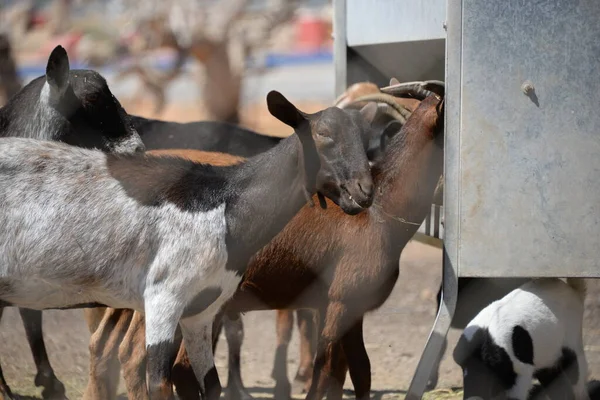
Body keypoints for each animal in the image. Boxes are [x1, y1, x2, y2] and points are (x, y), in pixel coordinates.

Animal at [0, 90, 376, 400]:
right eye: (324, 135)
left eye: (364, 140)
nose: (364, 191)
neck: (225, 204)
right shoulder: (163, 298)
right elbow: (160, 383)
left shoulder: (202, 310)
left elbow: (212, 384)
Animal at [82, 81, 442, 400]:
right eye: (324, 135)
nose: (361, 193)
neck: (384, 208)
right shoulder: (342, 299)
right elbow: (327, 370)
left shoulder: (349, 306)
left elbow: (356, 372)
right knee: (136, 356)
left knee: (107, 347)